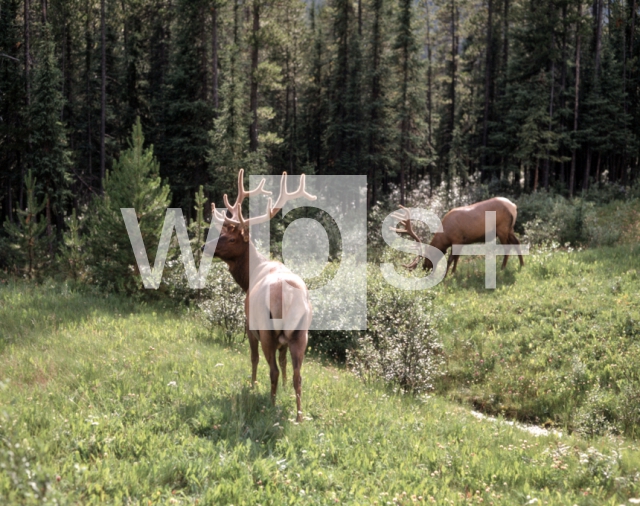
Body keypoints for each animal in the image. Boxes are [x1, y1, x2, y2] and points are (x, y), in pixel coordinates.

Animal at [204, 168, 316, 422]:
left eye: (231, 238)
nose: (205, 247)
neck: (248, 278)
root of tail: (288, 297)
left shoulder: (249, 324)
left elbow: (253, 358)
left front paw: (252, 385)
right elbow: (284, 364)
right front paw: (283, 389)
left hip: (266, 328)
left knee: (271, 368)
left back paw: (270, 405)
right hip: (301, 332)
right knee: (298, 374)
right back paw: (298, 415)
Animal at [392, 197, 524, 276]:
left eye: (427, 259)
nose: (424, 269)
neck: (445, 236)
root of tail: (514, 206)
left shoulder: (456, 239)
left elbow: (451, 259)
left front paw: (445, 275)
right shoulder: (461, 241)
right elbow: (457, 258)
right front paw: (453, 273)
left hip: (502, 228)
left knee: (507, 247)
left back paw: (502, 268)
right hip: (510, 229)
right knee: (517, 242)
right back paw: (522, 265)